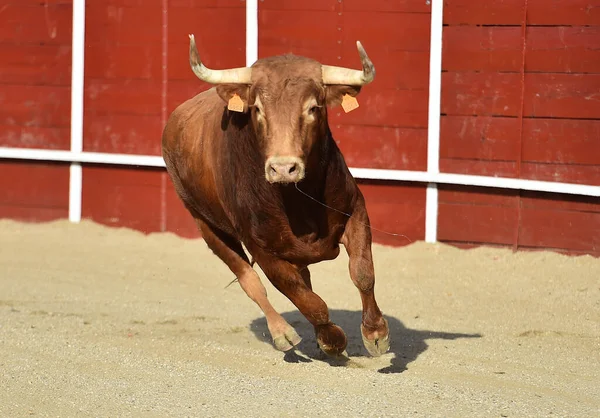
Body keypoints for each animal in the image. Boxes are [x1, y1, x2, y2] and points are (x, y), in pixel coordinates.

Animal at [162, 34, 392, 358]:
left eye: (313, 108)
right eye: (257, 109)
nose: (283, 168)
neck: (299, 202)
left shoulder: (355, 211)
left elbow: (362, 272)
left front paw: (375, 334)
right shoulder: (261, 247)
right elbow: (304, 297)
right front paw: (332, 339)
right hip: (204, 224)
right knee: (250, 281)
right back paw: (282, 332)